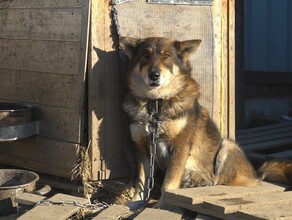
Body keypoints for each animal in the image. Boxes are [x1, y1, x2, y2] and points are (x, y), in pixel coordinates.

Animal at [118, 36, 292, 210]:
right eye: (145, 55)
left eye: (166, 56)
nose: (154, 75)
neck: (155, 104)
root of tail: (257, 175)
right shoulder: (143, 147)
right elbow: (142, 179)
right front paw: (137, 201)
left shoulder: (180, 146)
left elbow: (168, 183)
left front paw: (162, 204)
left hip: (227, 146)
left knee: (219, 180)